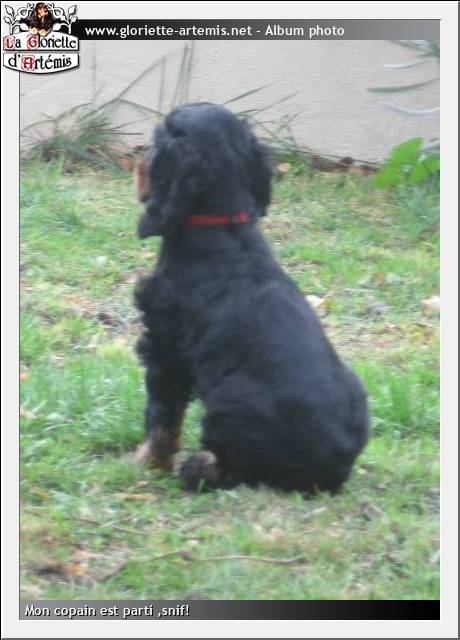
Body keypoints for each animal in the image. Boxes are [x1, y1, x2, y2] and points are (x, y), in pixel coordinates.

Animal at [133, 102, 369, 493]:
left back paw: (198, 468)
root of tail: (336, 471)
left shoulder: (166, 348)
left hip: (230, 400)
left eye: (160, 134)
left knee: (233, 471)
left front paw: (148, 462)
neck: (222, 227)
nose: (137, 154)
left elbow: (162, 415)